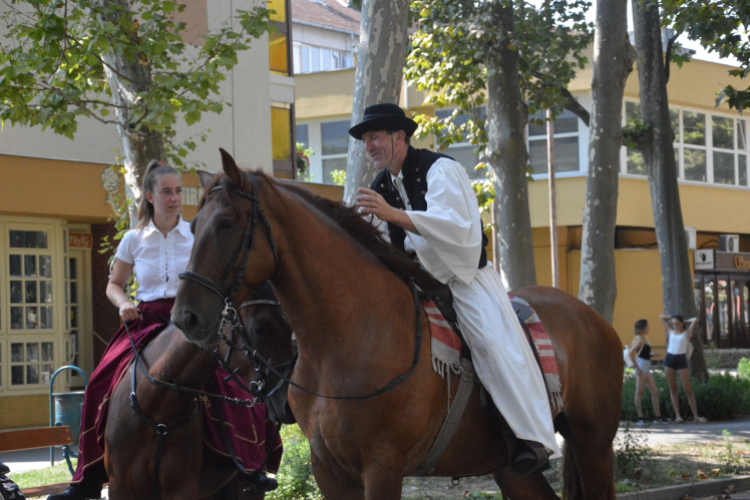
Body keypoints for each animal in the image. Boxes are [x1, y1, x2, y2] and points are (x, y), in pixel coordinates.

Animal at [173, 150, 624, 498]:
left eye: (226, 224)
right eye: (192, 226)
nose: (185, 317)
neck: (346, 337)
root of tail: (592, 318)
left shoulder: (382, 466)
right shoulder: (329, 470)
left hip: (594, 448)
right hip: (513, 470)